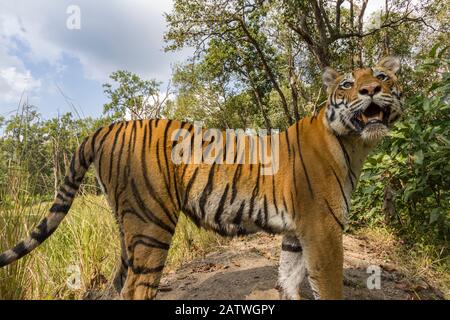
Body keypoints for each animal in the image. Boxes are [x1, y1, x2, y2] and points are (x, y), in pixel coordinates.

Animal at [0, 56, 404, 298]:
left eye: (383, 77)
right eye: (348, 84)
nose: (371, 89)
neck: (354, 145)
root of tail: (106, 127)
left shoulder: (296, 233)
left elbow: (290, 277)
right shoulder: (322, 229)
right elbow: (327, 284)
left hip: (125, 225)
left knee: (117, 283)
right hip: (151, 223)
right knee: (136, 287)